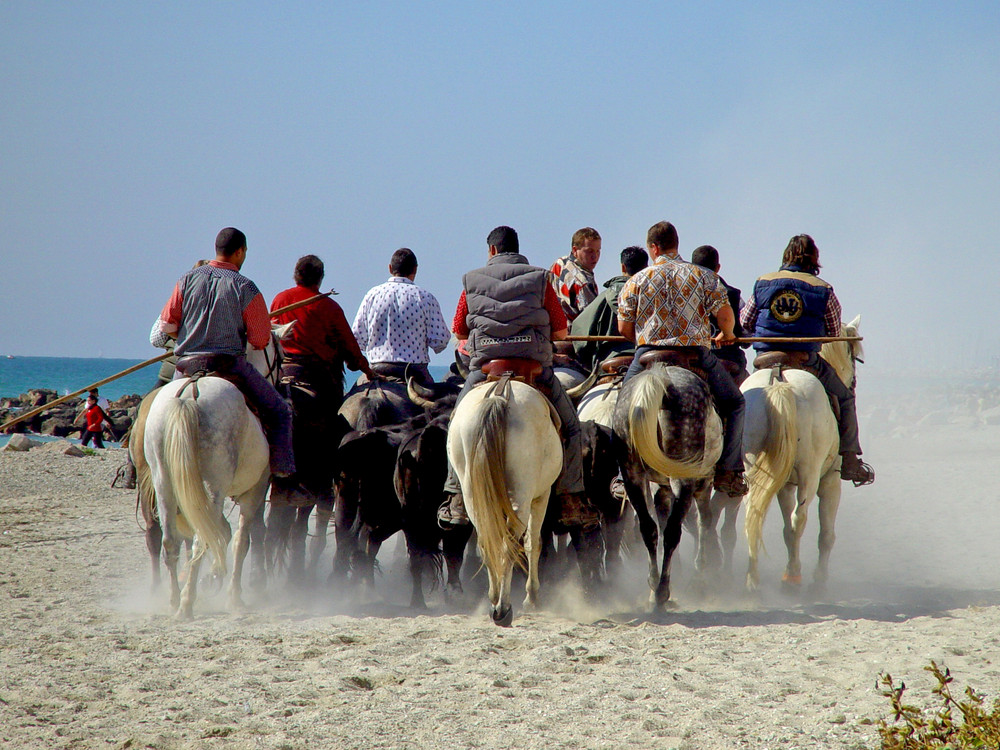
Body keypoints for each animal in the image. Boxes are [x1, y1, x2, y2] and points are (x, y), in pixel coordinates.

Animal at [143, 326, 290, 620]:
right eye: (280, 355)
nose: (283, 380)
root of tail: (189, 395)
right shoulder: (255, 489)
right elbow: (241, 540)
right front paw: (233, 596)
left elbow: (223, 532)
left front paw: (213, 578)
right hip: (213, 485)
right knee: (201, 540)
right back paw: (187, 604)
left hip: (165, 483)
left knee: (172, 542)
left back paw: (175, 601)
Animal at [446, 376, 564, 628]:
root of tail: (499, 395)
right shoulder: (541, 495)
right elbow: (533, 543)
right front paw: (532, 596)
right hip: (522, 494)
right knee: (510, 544)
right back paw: (504, 608)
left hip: (473, 493)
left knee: (486, 540)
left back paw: (494, 598)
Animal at [744, 316, 868, 592]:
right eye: (852, 355)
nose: (853, 383)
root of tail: (778, 379)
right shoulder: (830, 481)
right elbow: (826, 535)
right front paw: (818, 578)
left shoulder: (784, 485)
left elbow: (785, 531)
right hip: (811, 475)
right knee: (799, 519)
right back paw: (793, 578)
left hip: (754, 468)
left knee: (753, 515)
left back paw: (754, 580)